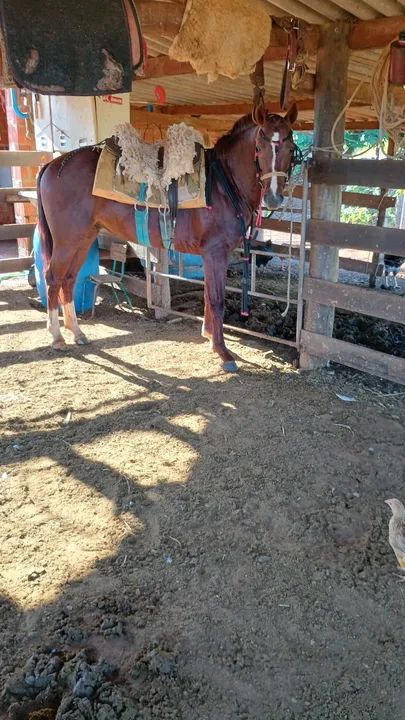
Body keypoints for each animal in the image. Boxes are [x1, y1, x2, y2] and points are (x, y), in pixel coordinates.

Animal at [37, 103, 298, 372]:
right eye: (259, 148)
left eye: (290, 148)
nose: (274, 198)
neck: (222, 183)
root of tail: (53, 164)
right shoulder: (215, 252)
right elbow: (217, 300)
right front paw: (223, 352)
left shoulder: (211, 255)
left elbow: (208, 295)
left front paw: (208, 336)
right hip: (67, 240)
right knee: (53, 278)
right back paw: (57, 337)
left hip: (83, 238)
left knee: (68, 279)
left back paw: (76, 332)